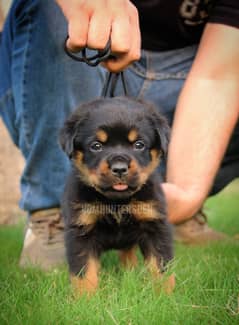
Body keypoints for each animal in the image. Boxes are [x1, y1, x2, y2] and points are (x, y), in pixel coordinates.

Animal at [59, 96, 175, 294]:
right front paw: (85, 299)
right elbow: (84, 272)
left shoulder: (154, 223)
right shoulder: (81, 229)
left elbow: (161, 265)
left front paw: (166, 295)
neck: (116, 202)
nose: (119, 168)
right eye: (96, 146)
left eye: (139, 145)